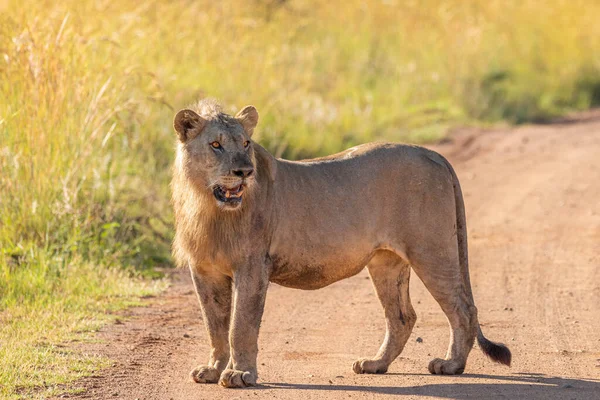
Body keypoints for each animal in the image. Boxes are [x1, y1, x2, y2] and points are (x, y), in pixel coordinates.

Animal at [170, 99, 510, 388]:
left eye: (245, 144)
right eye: (215, 145)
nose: (244, 171)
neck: (209, 206)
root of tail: (434, 154)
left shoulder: (252, 266)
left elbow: (240, 325)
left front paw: (240, 374)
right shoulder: (204, 270)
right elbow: (214, 325)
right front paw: (212, 370)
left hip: (431, 250)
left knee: (463, 309)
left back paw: (451, 365)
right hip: (386, 262)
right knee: (402, 316)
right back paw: (375, 364)